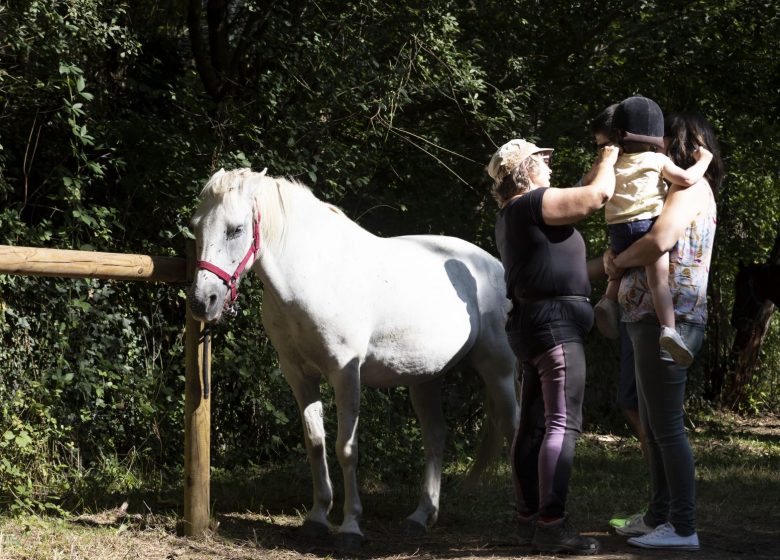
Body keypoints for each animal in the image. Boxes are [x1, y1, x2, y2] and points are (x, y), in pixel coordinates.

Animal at [188, 168, 516, 548]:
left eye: (236, 229)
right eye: (196, 226)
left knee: (513, 427)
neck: (314, 273)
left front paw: (350, 527)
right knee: (435, 436)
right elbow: (315, 443)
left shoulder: (345, 374)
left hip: (498, 368)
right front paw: (317, 518)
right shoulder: (299, 375)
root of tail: (494, 265)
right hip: (425, 379)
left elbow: (346, 448)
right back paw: (421, 516)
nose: (202, 301)